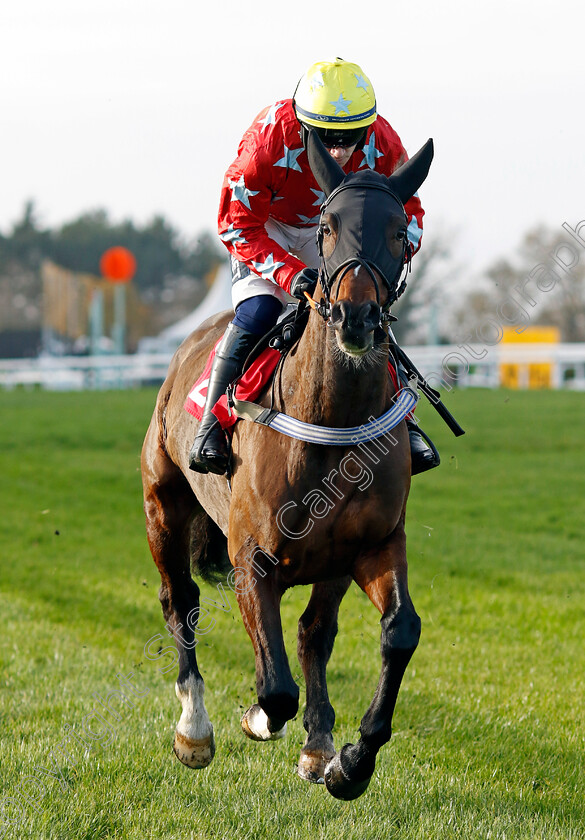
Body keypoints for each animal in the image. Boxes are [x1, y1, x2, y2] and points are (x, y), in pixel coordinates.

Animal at [141, 131, 434, 800]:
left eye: (399, 230)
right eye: (327, 226)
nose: (356, 317)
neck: (331, 418)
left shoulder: (371, 544)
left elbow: (396, 632)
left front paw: (348, 760)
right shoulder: (253, 555)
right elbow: (274, 689)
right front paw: (255, 718)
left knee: (311, 632)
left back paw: (318, 743)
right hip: (163, 506)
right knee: (180, 601)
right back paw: (194, 730)